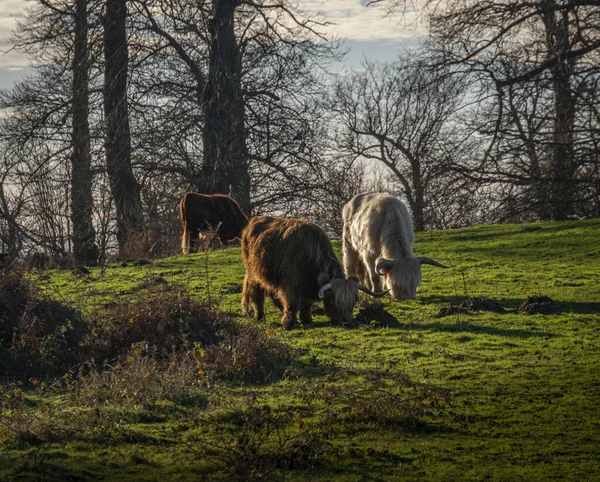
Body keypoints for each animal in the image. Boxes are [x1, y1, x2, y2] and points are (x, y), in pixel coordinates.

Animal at [241, 217, 386, 330]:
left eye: (354, 300)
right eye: (334, 299)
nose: (348, 322)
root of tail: (253, 221)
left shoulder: (308, 286)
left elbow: (306, 305)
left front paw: (306, 319)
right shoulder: (290, 285)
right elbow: (291, 304)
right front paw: (288, 323)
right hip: (254, 273)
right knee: (257, 294)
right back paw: (259, 316)